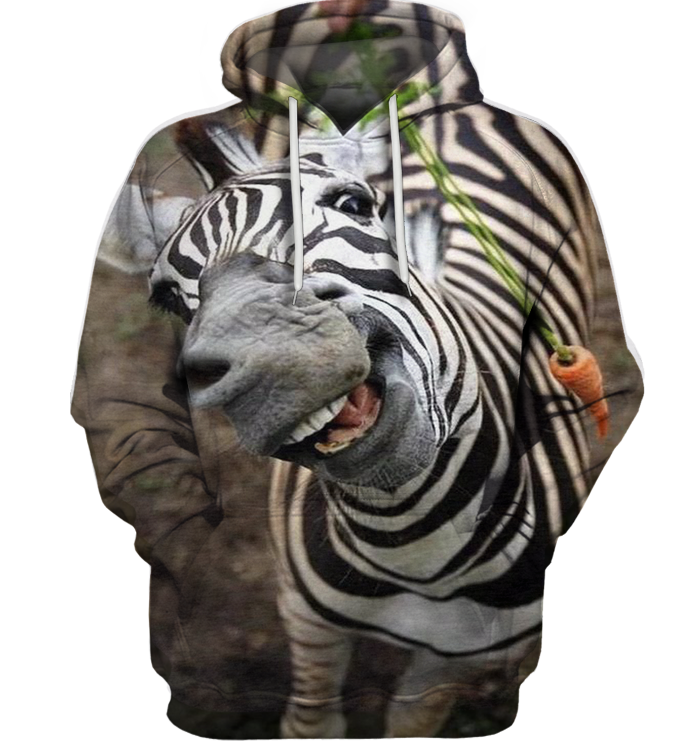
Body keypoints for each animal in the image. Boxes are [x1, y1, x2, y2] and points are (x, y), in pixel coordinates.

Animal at [145, 108, 632, 738]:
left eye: (353, 204)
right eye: (167, 297)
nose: (268, 358)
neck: (411, 543)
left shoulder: (455, 653)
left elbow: (411, 718)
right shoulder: (306, 618)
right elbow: (310, 721)